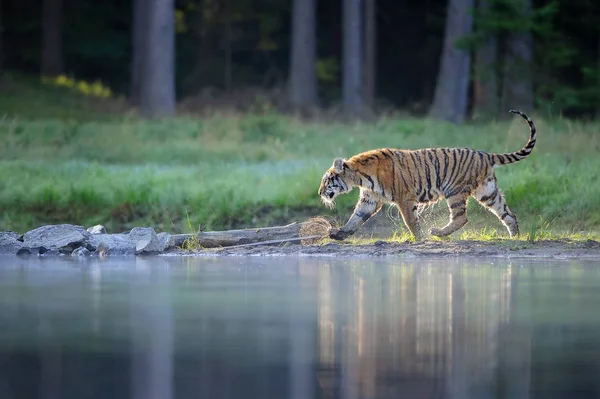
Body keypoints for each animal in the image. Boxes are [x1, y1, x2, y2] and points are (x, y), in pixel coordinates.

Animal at [322, 109, 536, 241]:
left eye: (326, 181)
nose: (320, 193)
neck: (360, 177)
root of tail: (485, 154)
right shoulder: (370, 199)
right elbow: (356, 218)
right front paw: (339, 234)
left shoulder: (404, 198)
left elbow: (411, 221)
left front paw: (419, 239)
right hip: (488, 192)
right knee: (508, 213)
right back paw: (514, 237)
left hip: (455, 191)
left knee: (461, 218)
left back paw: (437, 232)